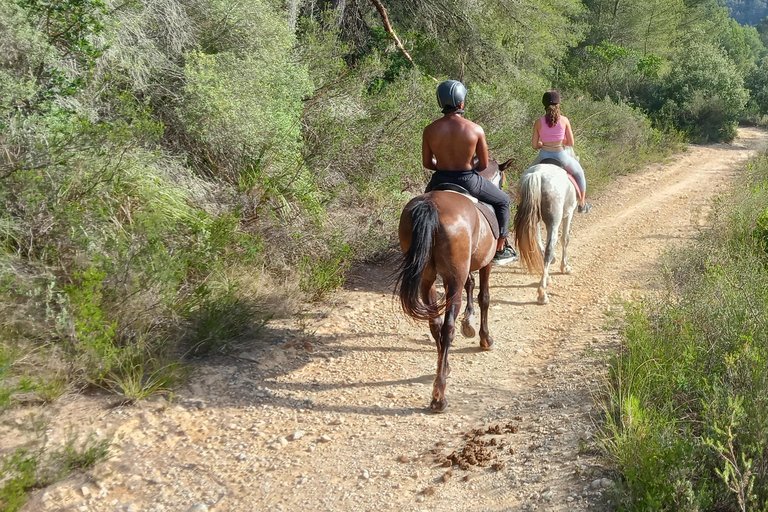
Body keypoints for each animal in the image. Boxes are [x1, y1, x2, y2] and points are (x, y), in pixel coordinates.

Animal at [396, 160, 510, 412]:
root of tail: (430, 205)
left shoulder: (464, 268)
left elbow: (471, 284)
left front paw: (468, 323)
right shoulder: (486, 263)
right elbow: (484, 297)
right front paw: (484, 338)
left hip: (427, 279)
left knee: (435, 323)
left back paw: (444, 369)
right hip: (452, 278)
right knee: (447, 327)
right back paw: (439, 395)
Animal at [512, 148, 580, 304]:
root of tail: (537, 175)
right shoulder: (569, 214)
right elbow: (565, 239)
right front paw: (565, 267)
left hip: (533, 218)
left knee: (538, 243)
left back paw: (546, 279)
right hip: (554, 221)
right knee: (549, 248)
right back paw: (542, 293)